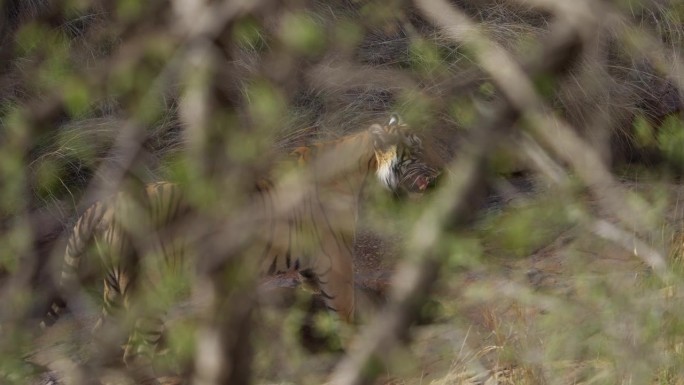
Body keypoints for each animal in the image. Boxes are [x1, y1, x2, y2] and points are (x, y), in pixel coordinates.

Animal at [44, 113, 438, 364]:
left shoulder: (311, 266)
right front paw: (359, 347)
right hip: (149, 294)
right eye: (417, 151)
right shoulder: (335, 259)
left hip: (114, 294)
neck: (361, 170)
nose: (440, 171)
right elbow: (346, 308)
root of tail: (106, 205)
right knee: (136, 352)